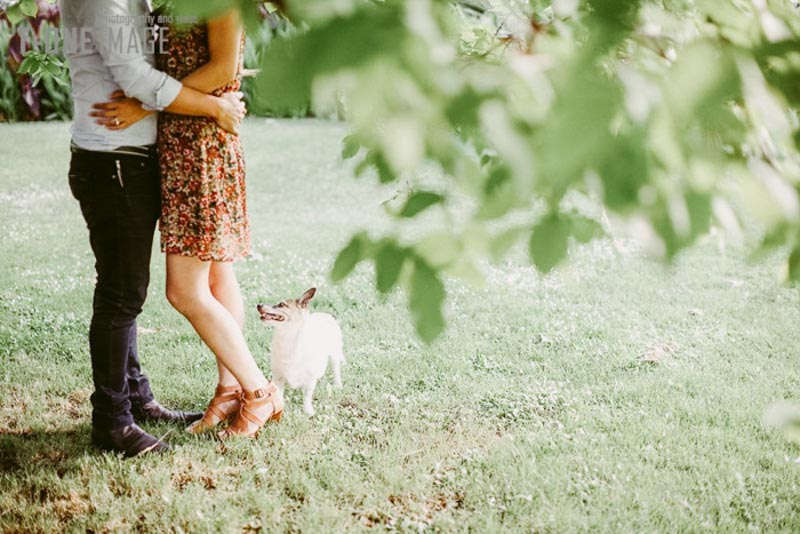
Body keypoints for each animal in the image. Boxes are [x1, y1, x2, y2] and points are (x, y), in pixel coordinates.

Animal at [256, 288, 344, 418]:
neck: (287, 339)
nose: (259, 305)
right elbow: (279, 396)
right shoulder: (278, 378)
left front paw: (308, 410)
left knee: (336, 369)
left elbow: (307, 396)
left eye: (281, 304)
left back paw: (338, 384)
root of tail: (325, 314)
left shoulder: (310, 380)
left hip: (335, 354)